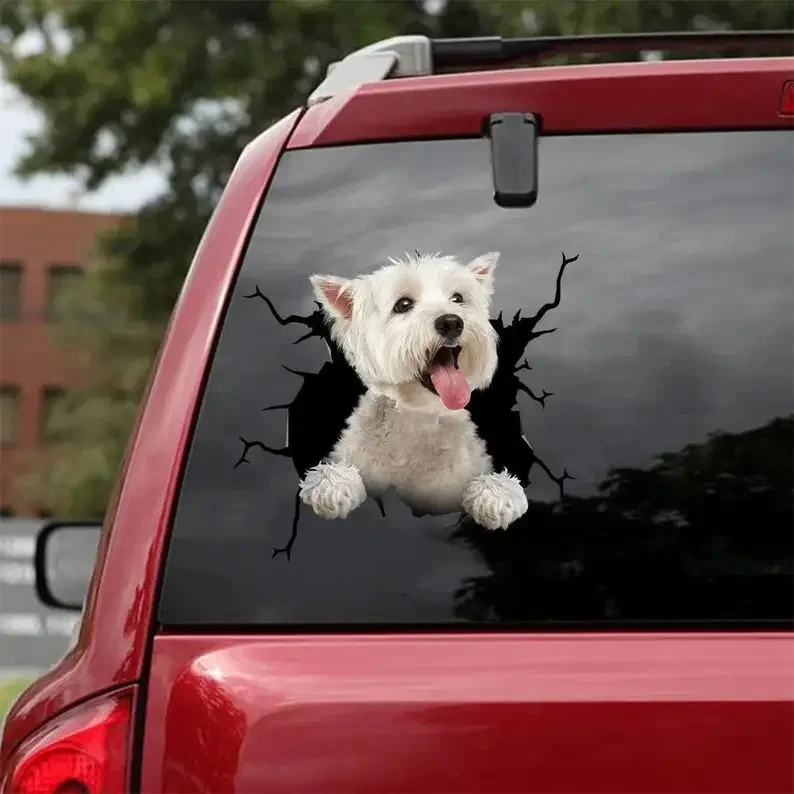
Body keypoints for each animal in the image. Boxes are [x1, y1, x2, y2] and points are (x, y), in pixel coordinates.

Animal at [296, 251, 524, 528]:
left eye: (458, 298)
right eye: (403, 305)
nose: (451, 322)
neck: (416, 418)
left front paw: (496, 496)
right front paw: (332, 487)